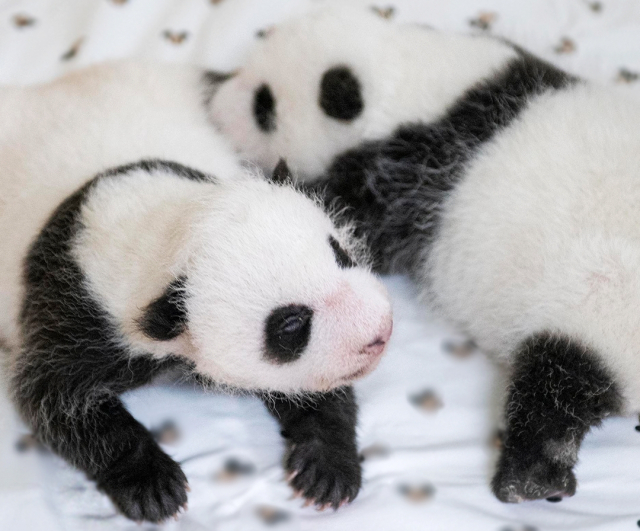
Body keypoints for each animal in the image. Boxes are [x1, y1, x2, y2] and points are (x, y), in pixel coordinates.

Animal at [0, 62, 392, 524]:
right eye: (291, 324)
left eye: (340, 253)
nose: (379, 333)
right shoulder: (72, 306)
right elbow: (51, 396)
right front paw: (152, 484)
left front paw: (327, 468)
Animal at [210, 4, 640, 508]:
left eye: (264, 105)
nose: (215, 108)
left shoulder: (411, 171)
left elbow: (350, 212)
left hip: (602, 297)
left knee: (560, 381)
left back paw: (530, 476)